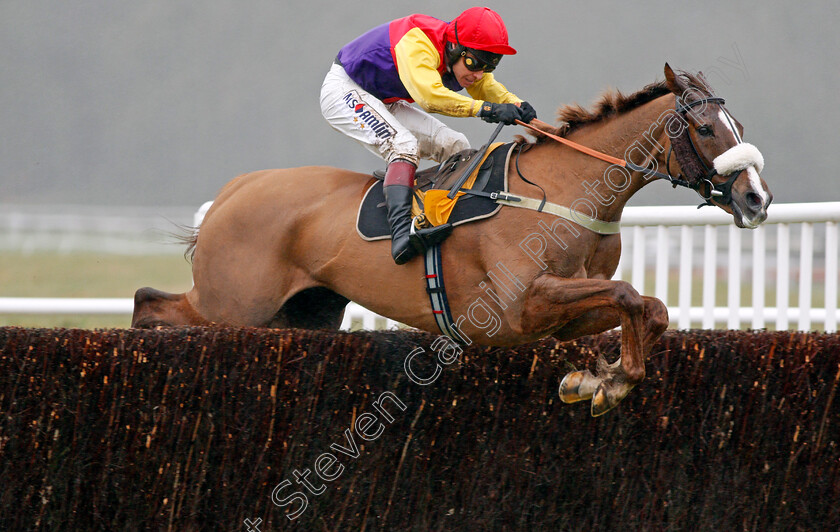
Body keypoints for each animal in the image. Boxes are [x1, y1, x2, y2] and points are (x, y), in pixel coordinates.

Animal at [133, 65, 776, 416]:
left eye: (740, 126)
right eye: (705, 129)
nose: (757, 199)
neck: (565, 191)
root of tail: (234, 191)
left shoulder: (562, 314)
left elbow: (650, 307)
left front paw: (600, 379)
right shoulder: (519, 307)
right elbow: (625, 296)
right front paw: (604, 382)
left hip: (300, 315)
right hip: (233, 303)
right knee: (149, 302)